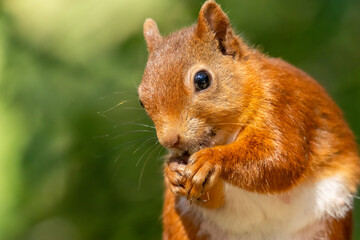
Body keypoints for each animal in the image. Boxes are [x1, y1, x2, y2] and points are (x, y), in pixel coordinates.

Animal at [137, 0, 360, 239]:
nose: (170, 141)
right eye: (141, 100)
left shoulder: (282, 104)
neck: (226, 136)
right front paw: (171, 170)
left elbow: (281, 157)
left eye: (202, 79)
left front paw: (212, 159)